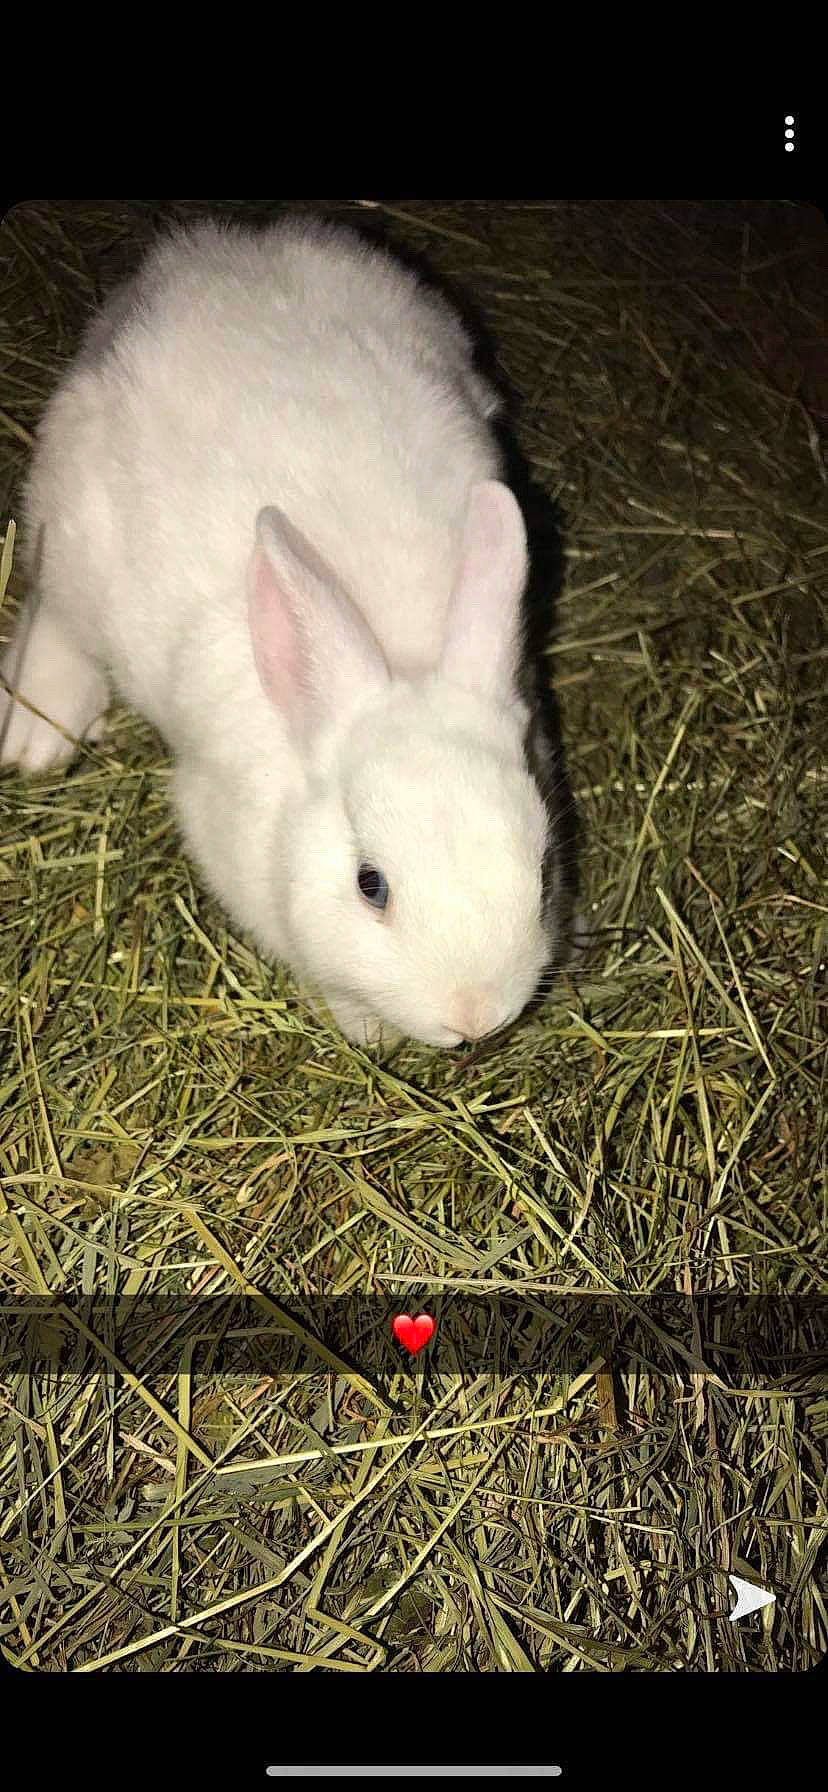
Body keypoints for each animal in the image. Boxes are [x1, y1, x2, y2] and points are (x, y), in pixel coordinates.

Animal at [0, 213, 575, 1047]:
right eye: (370, 885)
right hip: (69, 527)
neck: (400, 651)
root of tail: (210, 251)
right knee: (57, 612)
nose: (473, 1015)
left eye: (541, 867)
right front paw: (369, 1030)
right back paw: (37, 733)